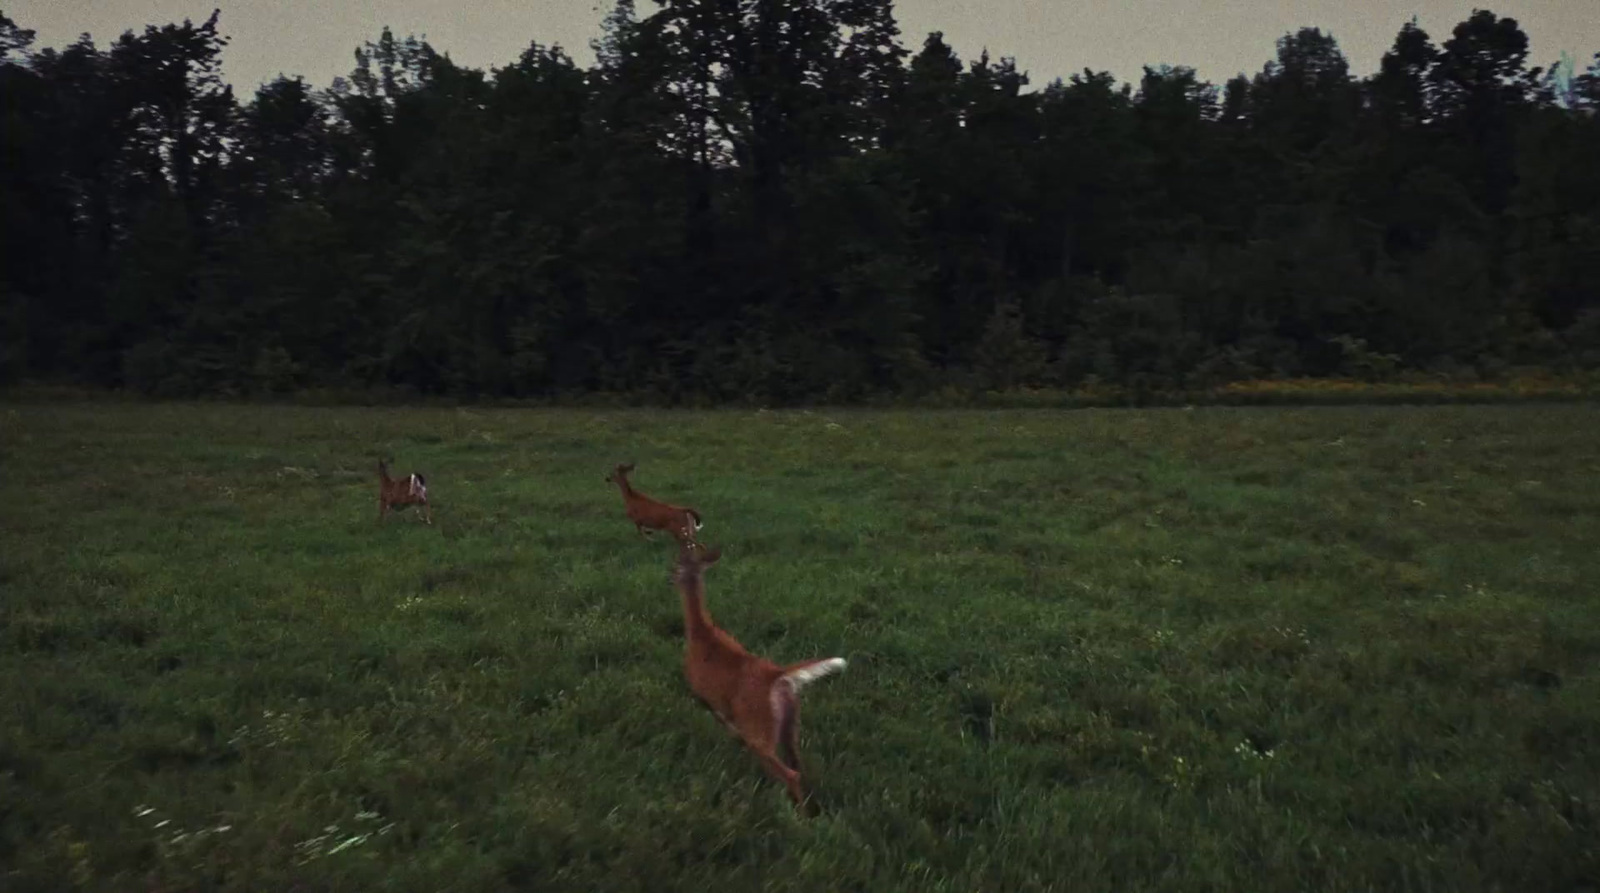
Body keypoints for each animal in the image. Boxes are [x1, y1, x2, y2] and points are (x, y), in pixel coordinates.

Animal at [668, 544, 851, 816]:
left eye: (678, 564)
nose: (670, 577)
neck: (701, 633)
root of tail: (778, 676)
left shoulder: (702, 691)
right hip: (790, 722)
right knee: (797, 763)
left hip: (759, 725)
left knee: (789, 772)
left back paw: (796, 815)